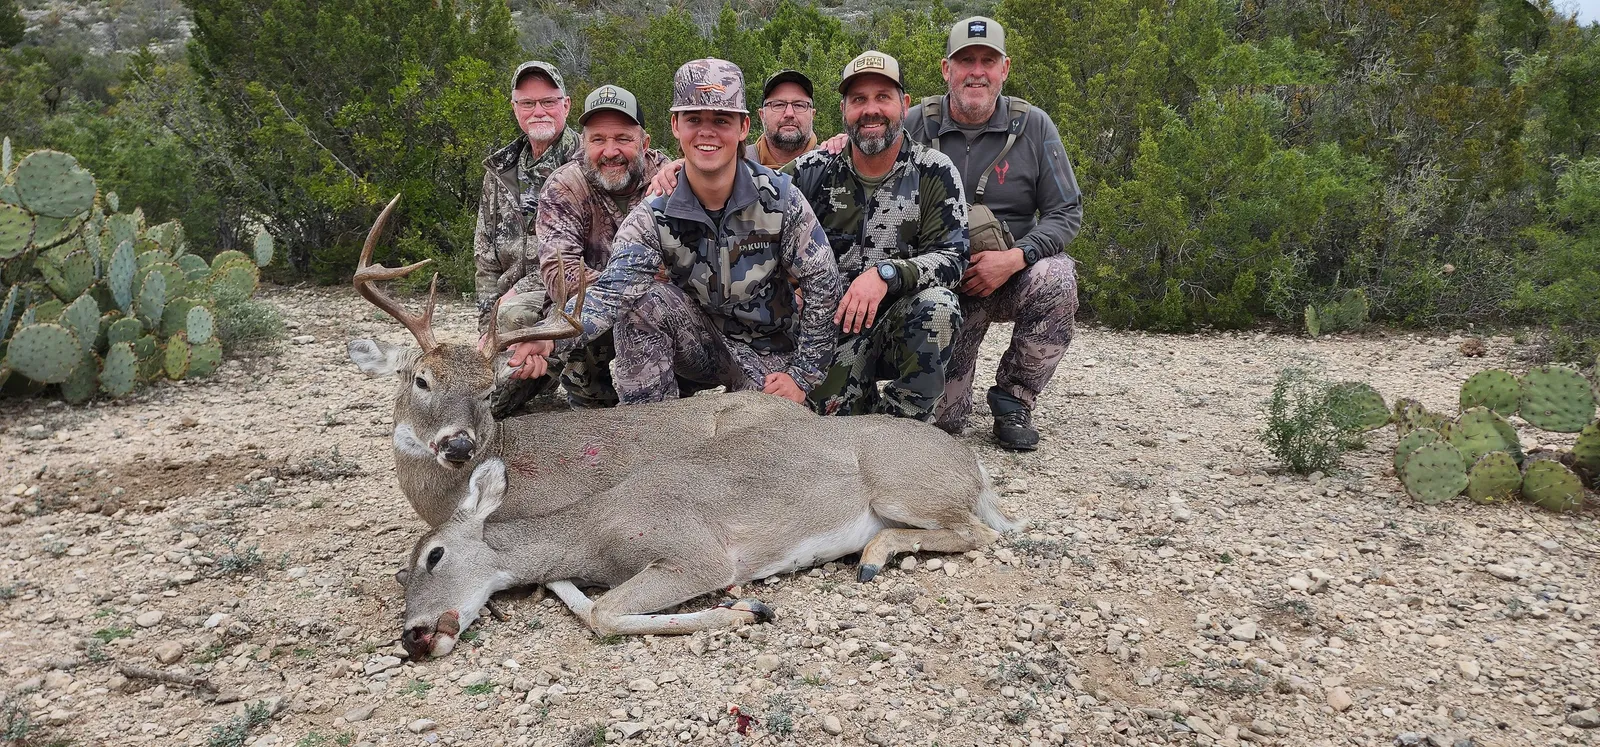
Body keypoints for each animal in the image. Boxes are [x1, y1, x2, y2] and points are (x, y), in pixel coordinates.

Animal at [346, 195, 1024, 659]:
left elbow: (605, 612)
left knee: (983, 533)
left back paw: (876, 555)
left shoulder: (696, 553)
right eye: (419, 381)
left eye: (434, 556)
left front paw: (748, 609)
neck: (593, 532)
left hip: (905, 486)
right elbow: (581, 599)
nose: (413, 636)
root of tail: (974, 466)